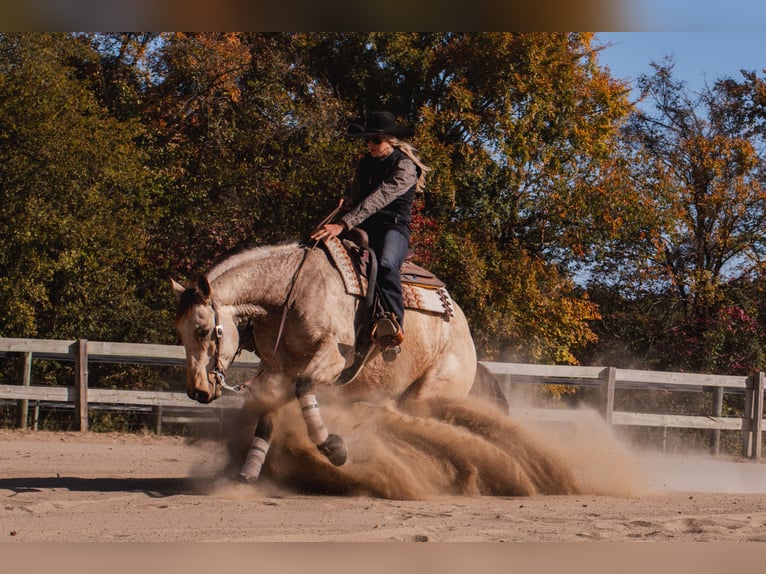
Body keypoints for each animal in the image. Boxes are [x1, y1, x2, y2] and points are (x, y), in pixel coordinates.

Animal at [171, 239, 502, 484]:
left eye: (202, 331)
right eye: (181, 334)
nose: (197, 391)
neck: (291, 291)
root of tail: (463, 328)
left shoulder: (333, 355)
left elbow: (304, 387)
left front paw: (332, 447)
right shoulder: (279, 369)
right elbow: (267, 415)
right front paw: (247, 472)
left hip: (430, 393)